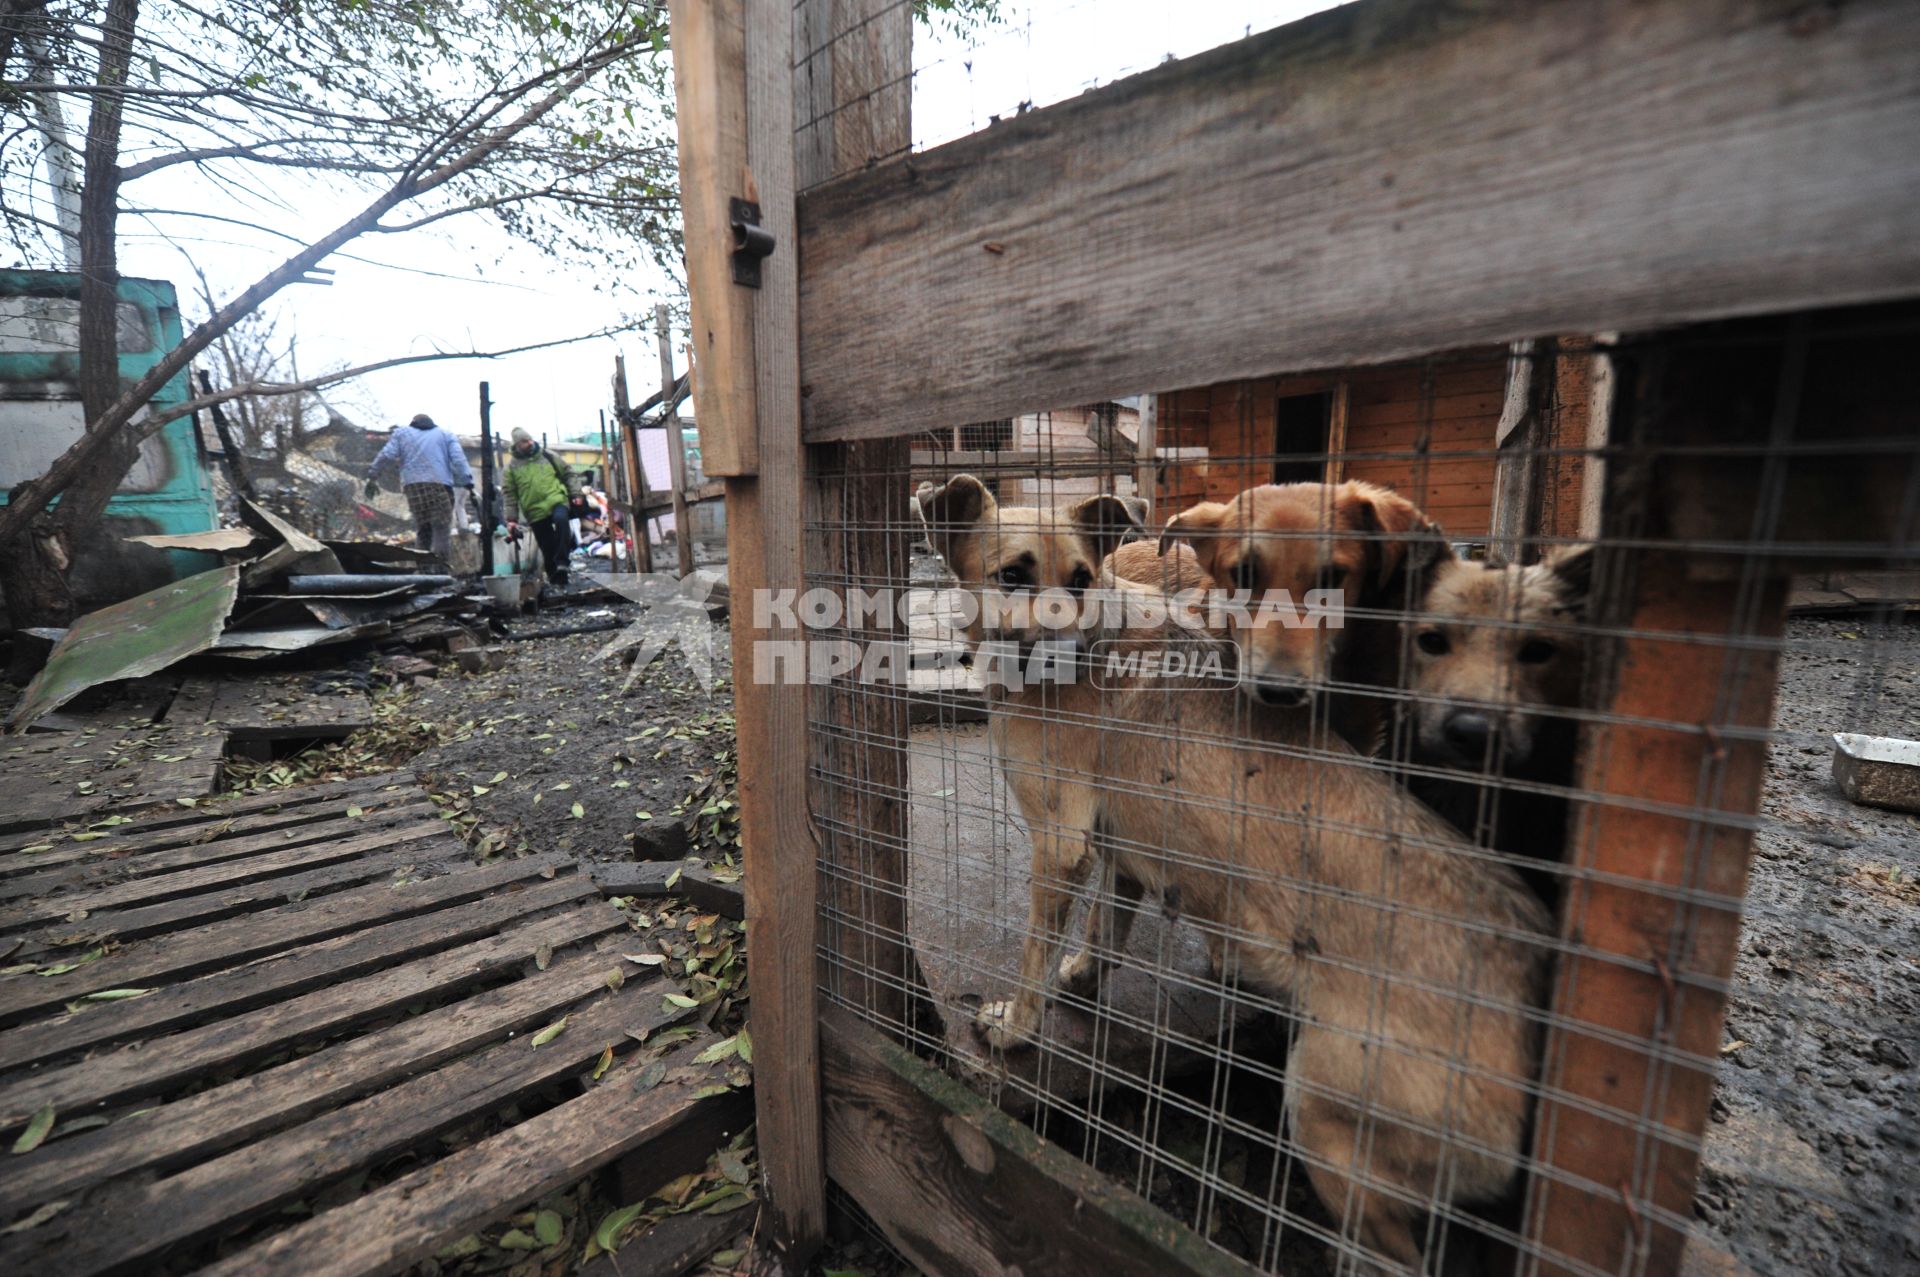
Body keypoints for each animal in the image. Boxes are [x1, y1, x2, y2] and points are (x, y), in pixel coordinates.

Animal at [917, 472, 1559, 1267]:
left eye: (1082, 577)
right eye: (1013, 574)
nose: (1071, 652)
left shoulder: (1061, 842)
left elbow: (1037, 953)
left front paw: (1016, 1025)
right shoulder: (1122, 841)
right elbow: (1106, 927)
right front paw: (1085, 977)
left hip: (1323, 1114)